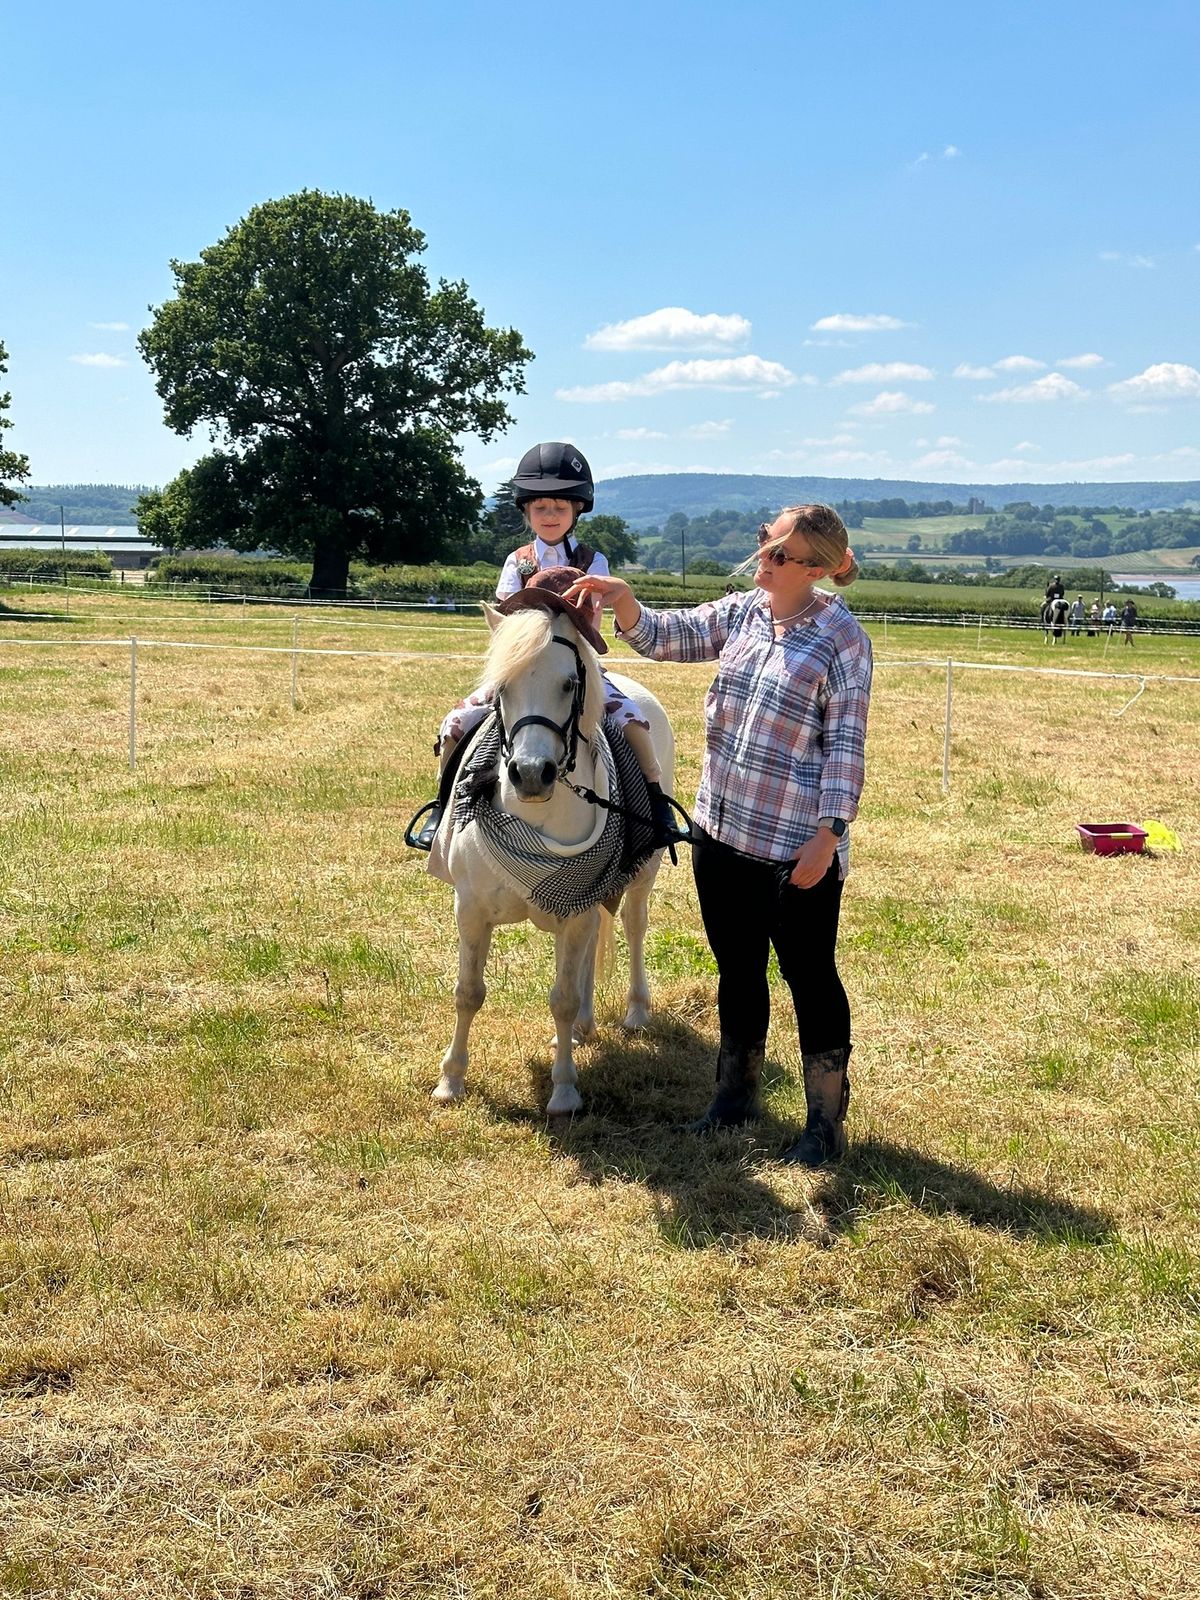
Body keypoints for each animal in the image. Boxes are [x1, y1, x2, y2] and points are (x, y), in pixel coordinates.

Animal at [428, 598, 678, 1113]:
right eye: (503, 687)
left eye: (568, 683)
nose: (530, 773)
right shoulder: (471, 909)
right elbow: (468, 992)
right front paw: (451, 1080)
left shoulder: (575, 911)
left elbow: (560, 997)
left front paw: (564, 1091)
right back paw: (583, 1028)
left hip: (641, 878)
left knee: (633, 927)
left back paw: (635, 1010)